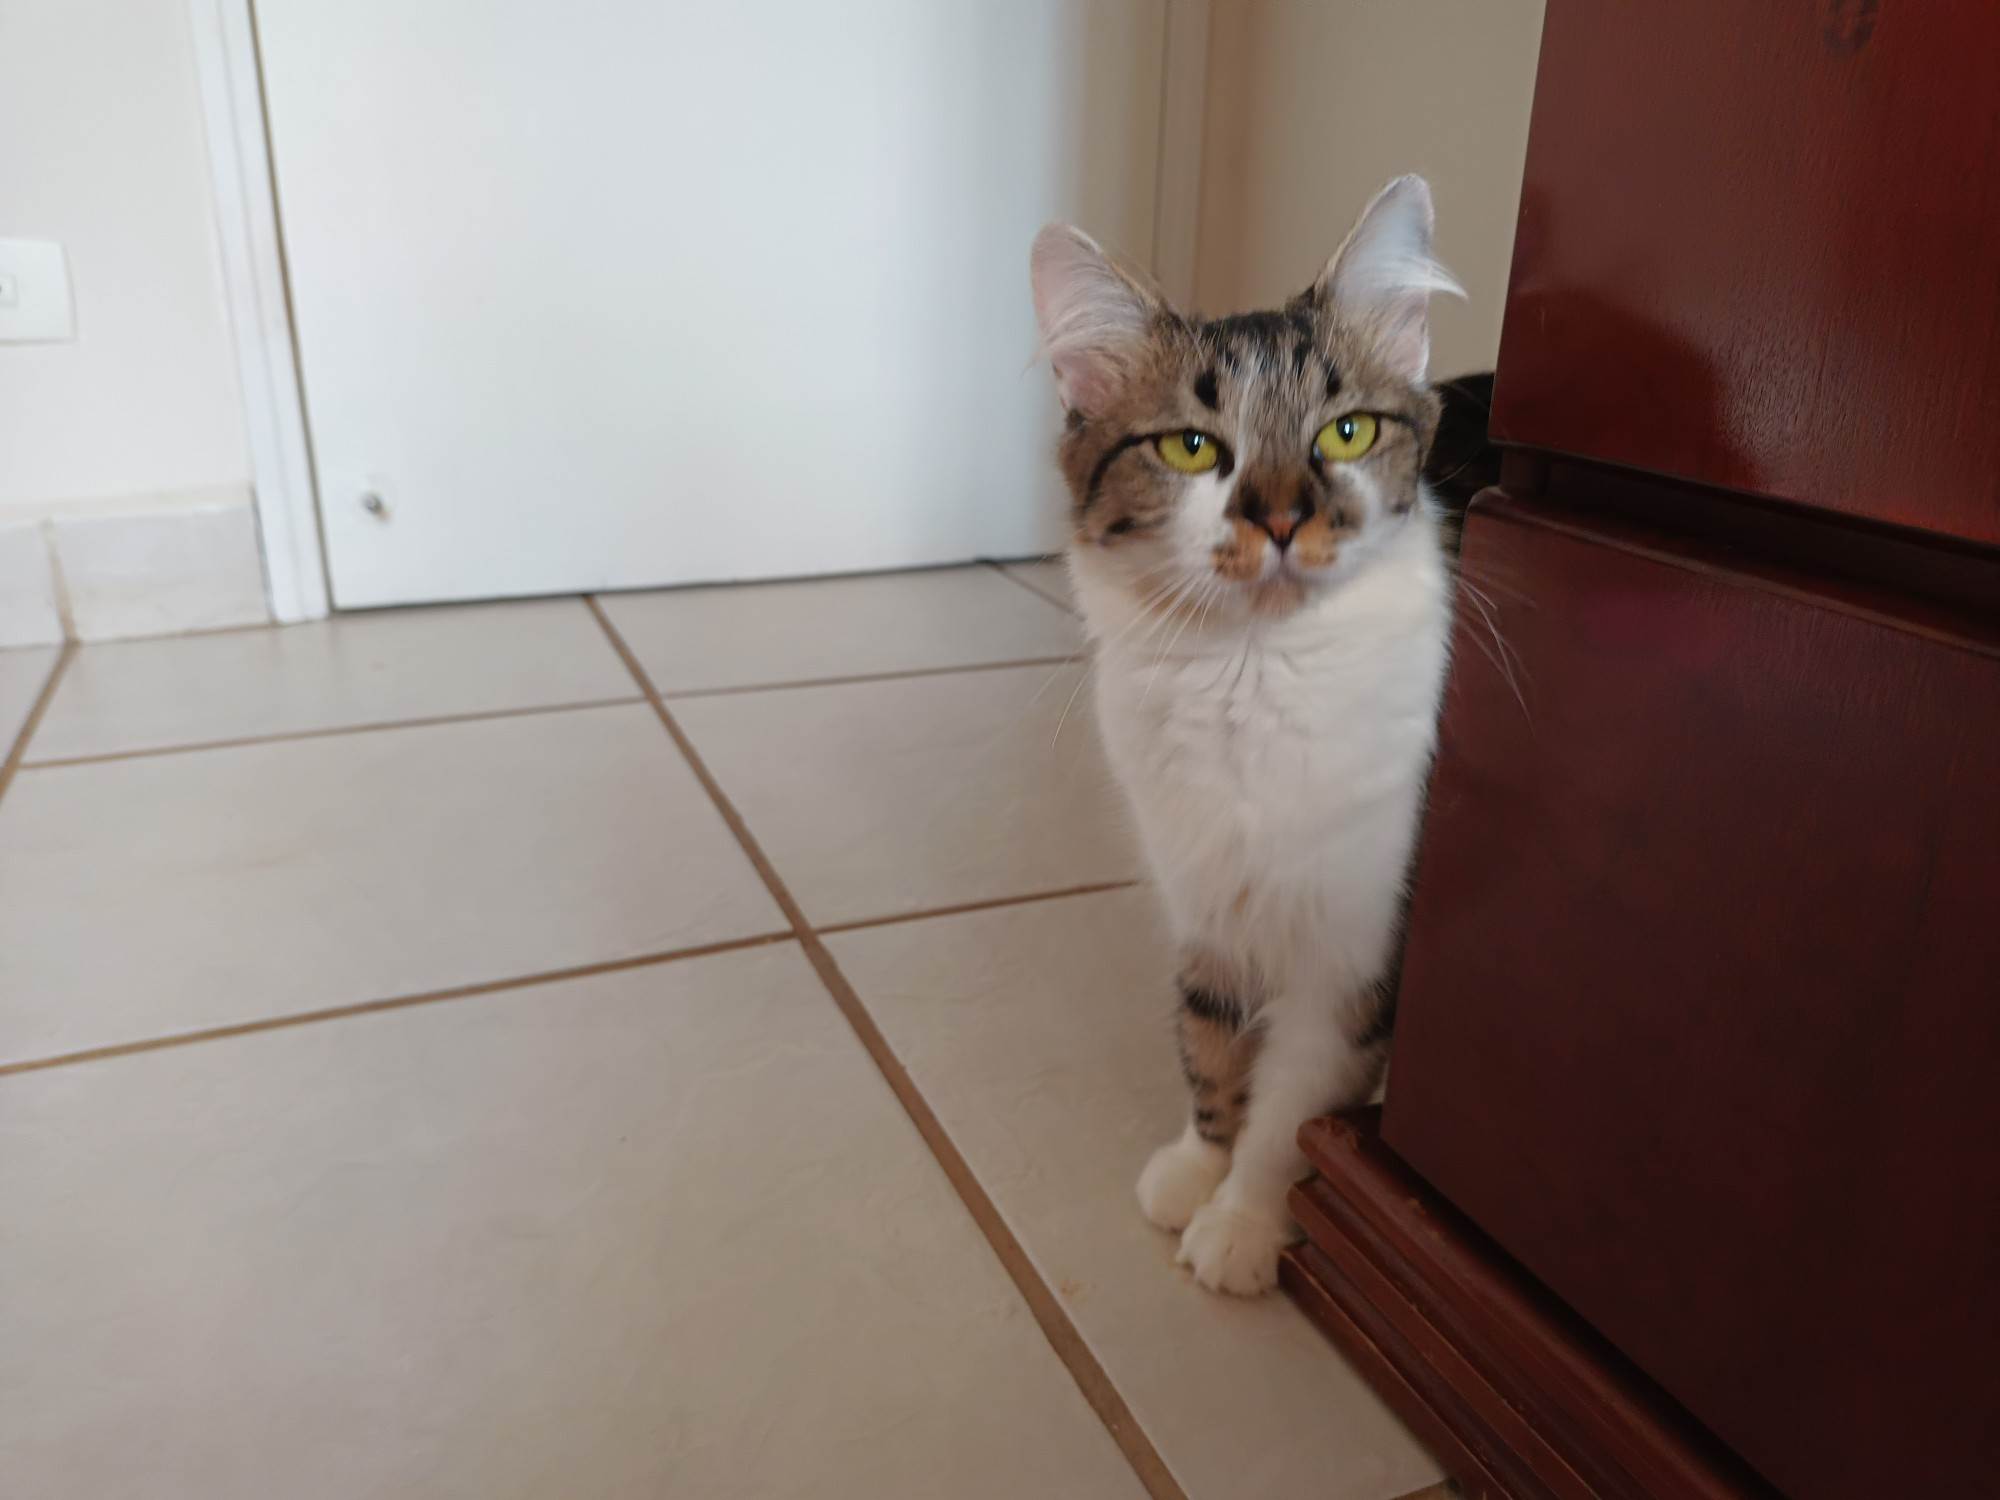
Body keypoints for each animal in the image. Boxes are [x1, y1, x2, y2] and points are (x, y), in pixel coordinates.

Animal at [1029, 176, 1467, 1295]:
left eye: (1345, 434)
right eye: (1190, 447)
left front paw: (1243, 1225)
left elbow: (1293, 1111)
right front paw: (1196, 1172)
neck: (1252, 671)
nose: (1277, 519)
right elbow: (1211, 1052)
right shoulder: (1205, 905)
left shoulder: (1354, 953)